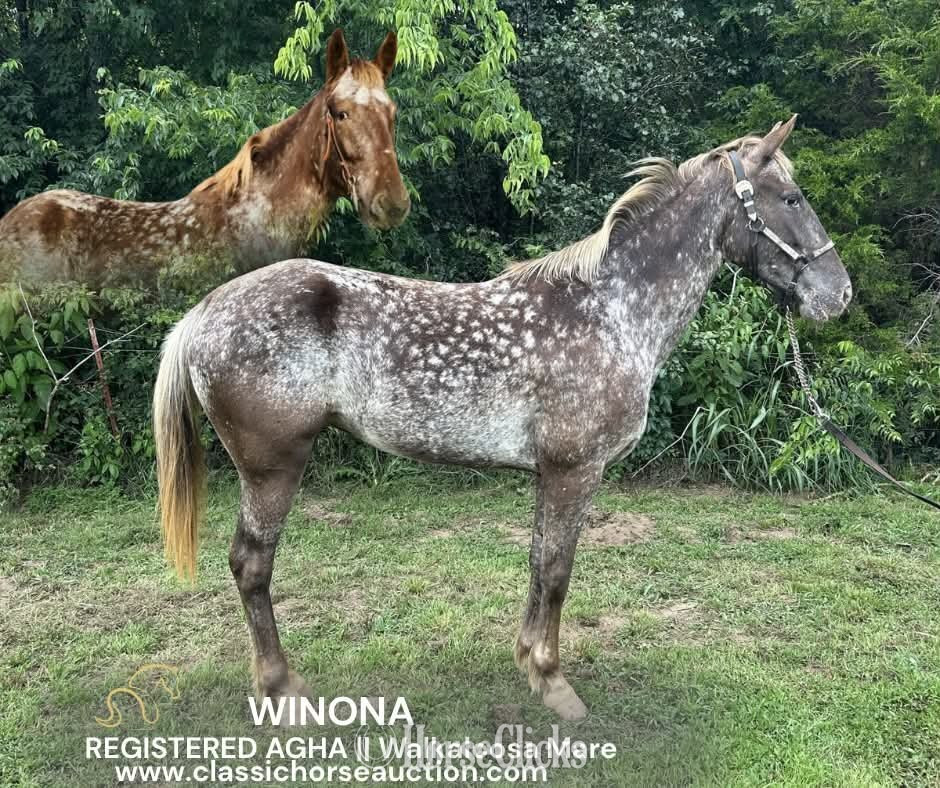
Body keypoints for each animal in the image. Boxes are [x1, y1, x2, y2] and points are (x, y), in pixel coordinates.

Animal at [153, 116, 852, 721]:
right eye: (791, 197)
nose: (838, 294)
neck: (610, 312)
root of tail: (202, 313)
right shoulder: (575, 470)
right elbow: (559, 571)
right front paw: (553, 681)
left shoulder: (550, 473)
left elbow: (539, 562)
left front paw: (528, 663)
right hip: (272, 467)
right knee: (250, 565)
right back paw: (281, 685)